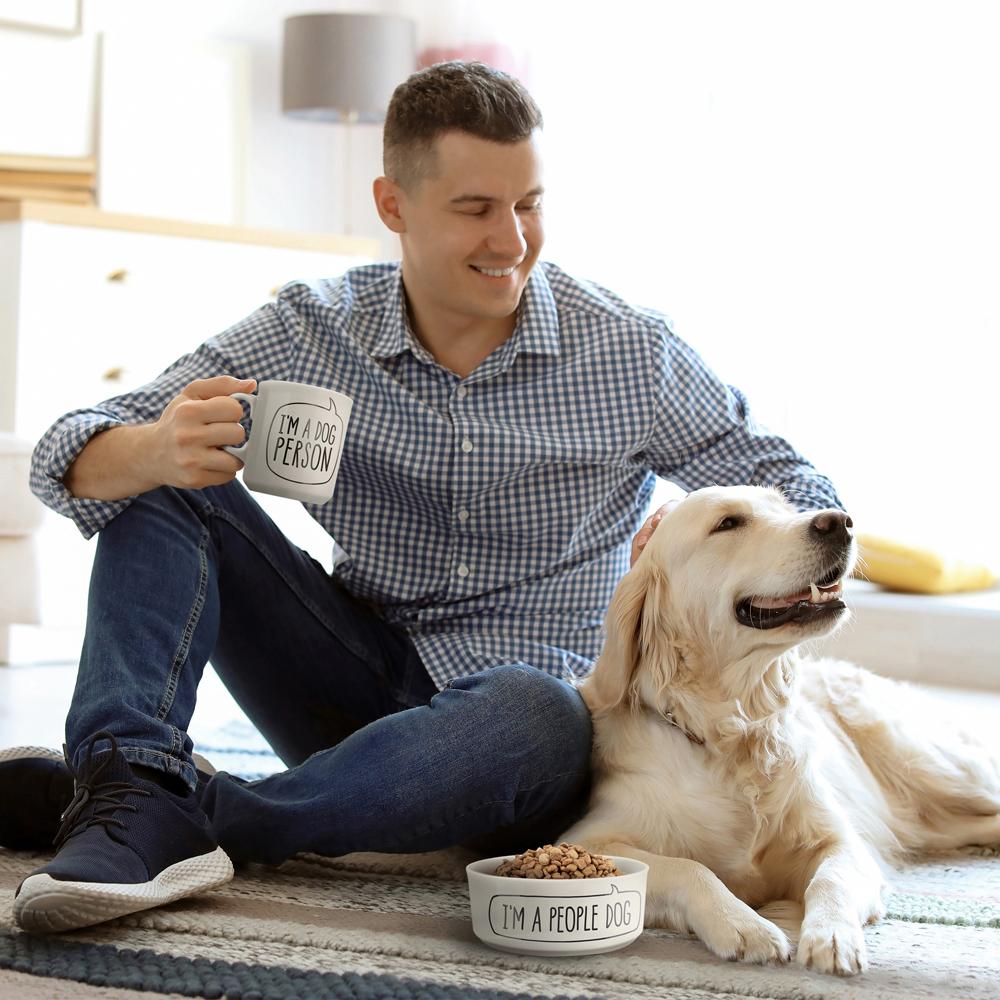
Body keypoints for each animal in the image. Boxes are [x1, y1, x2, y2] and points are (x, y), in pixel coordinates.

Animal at [564, 488, 1000, 972]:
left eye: (786, 508)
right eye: (728, 523)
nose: (840, 521)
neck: (733, 732)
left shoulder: (844, 842)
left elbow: (830, 878)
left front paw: (831, 934)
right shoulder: (586, 839)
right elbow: (689, 867)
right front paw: (743, 925)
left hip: (940, 770)